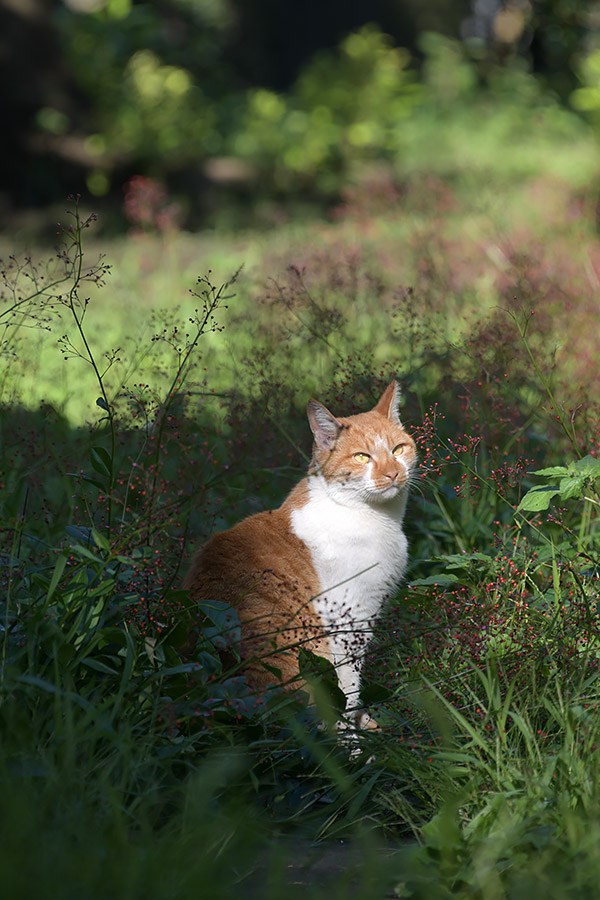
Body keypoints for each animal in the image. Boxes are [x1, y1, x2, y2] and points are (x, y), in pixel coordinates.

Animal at [184, 378, 418, 724]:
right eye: (362, 458)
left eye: (398, 449)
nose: (392, 474)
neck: (373, 516)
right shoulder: (349, 622)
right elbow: (349, 689)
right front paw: (355, 734)